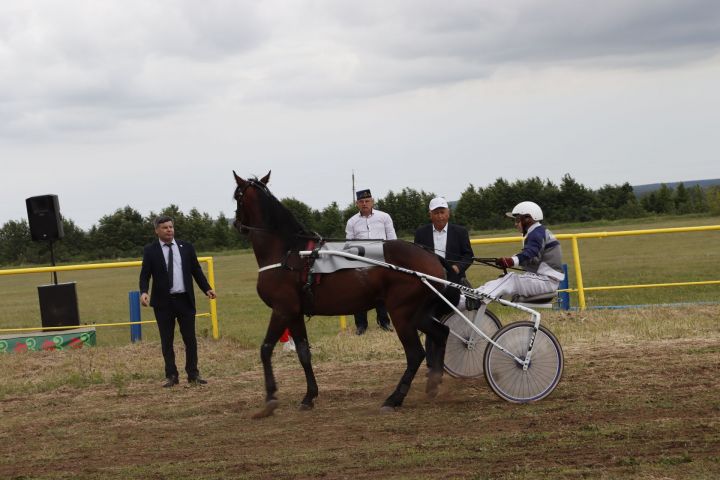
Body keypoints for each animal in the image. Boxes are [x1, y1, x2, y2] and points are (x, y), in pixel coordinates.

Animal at [233, 172, 450, 416]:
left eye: (237, 196)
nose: (236, 224)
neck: (290, 253)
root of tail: (432, 257)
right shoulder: (295, 313)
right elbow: (303, 353)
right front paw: (309, 396)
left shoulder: (282, 309)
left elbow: (266, 349)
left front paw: (270, 398)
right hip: (418, 313)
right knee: (441, 334)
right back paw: (433, 384)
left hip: (400, 312)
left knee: (415, 354)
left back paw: (394, 398)